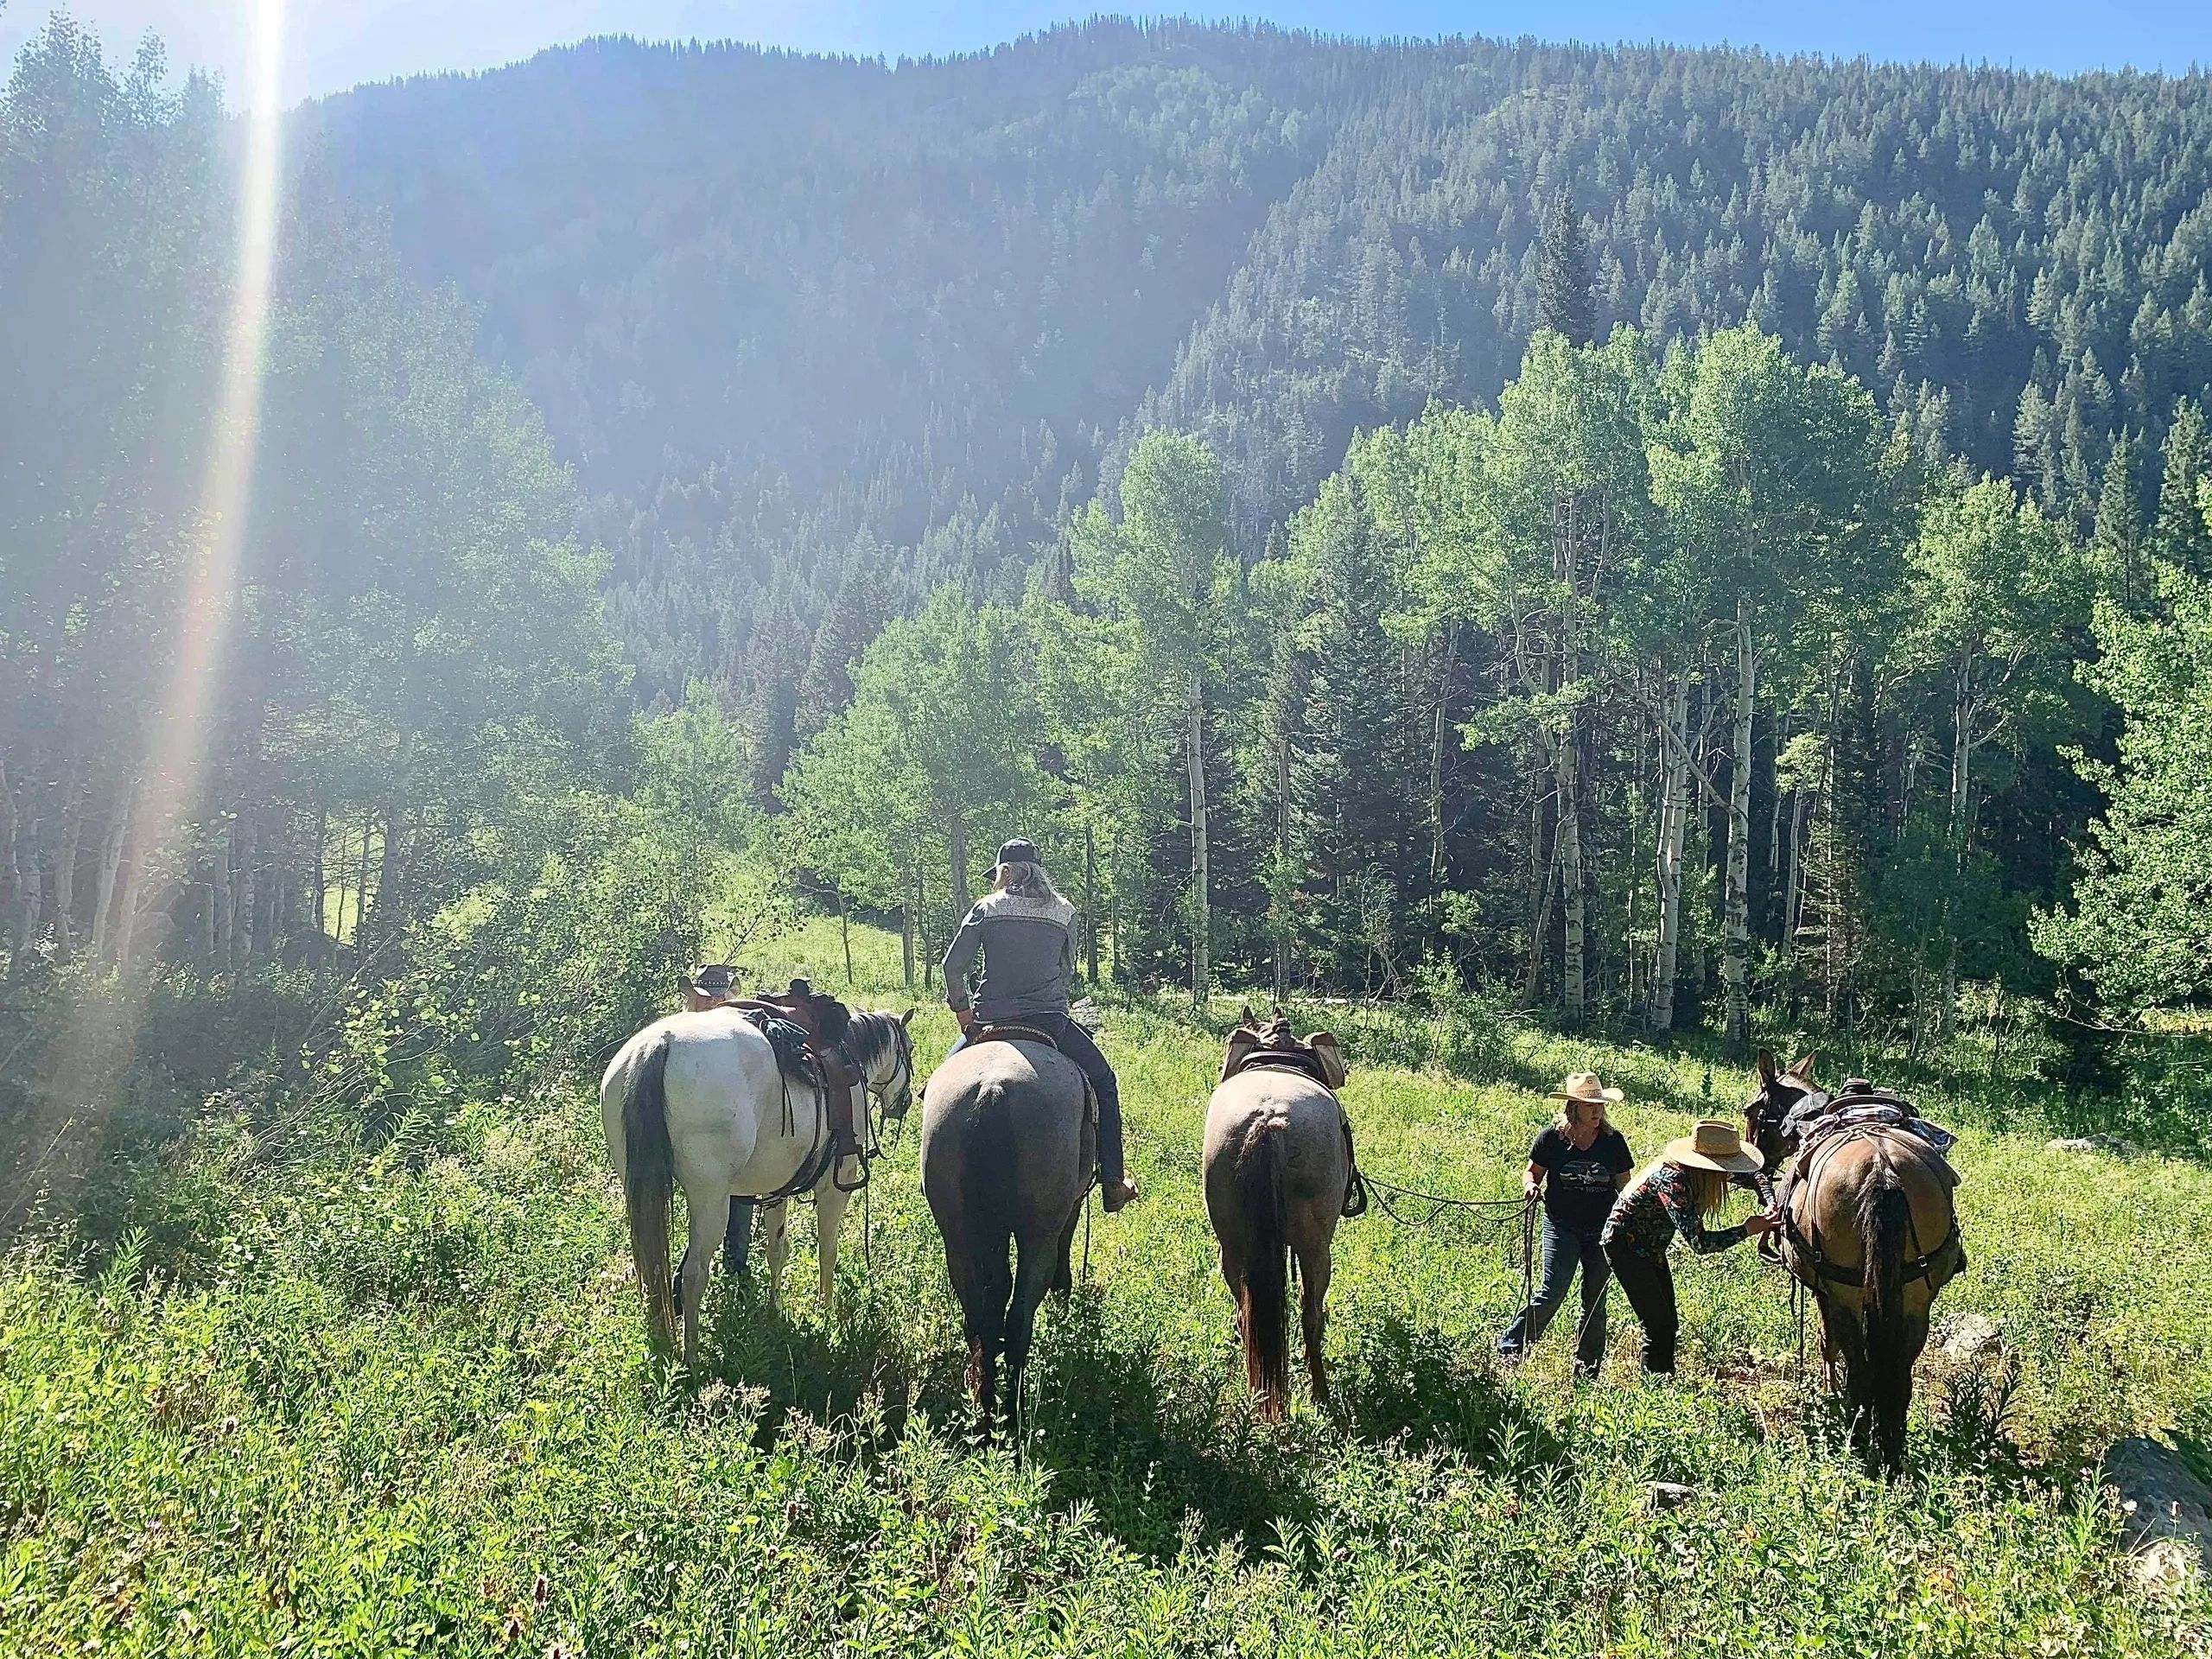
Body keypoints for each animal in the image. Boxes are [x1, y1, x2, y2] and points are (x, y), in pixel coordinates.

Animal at [601, 1000, 911, 1362]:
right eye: (909, 1049)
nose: (905, 1102)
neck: (852, 1062)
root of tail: (659, 1043)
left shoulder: (777, 1189)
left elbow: (777, 1249)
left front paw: (776, 1310)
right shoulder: (835, 1187)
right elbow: (828, 1249)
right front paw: (827, 1312)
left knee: (652, 1273)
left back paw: (661, 1348)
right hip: (710, 1200)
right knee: (693, 1276)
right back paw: (691, 1359)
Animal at [915, 1035, 1088, 1451]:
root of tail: (992, 1090)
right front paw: (1064, 1291)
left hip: (958, 1237)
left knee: (981, 1318)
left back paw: (983, 1412)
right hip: (1036, 1236)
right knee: (1018, 1320)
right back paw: (1011, 1415)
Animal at [1743, 1057, 1973, 1478]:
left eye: (1751, 1111)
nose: (1755, 1166)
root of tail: (1882, 1171)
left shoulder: (1825, 1290)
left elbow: (1826, 1340)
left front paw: (1829, 1390)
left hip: (1848, 1293)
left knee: (1862, 1370)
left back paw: (1859, 1444)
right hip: (1916, 1297)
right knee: (1899, 1376)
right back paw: (1891, 1455)